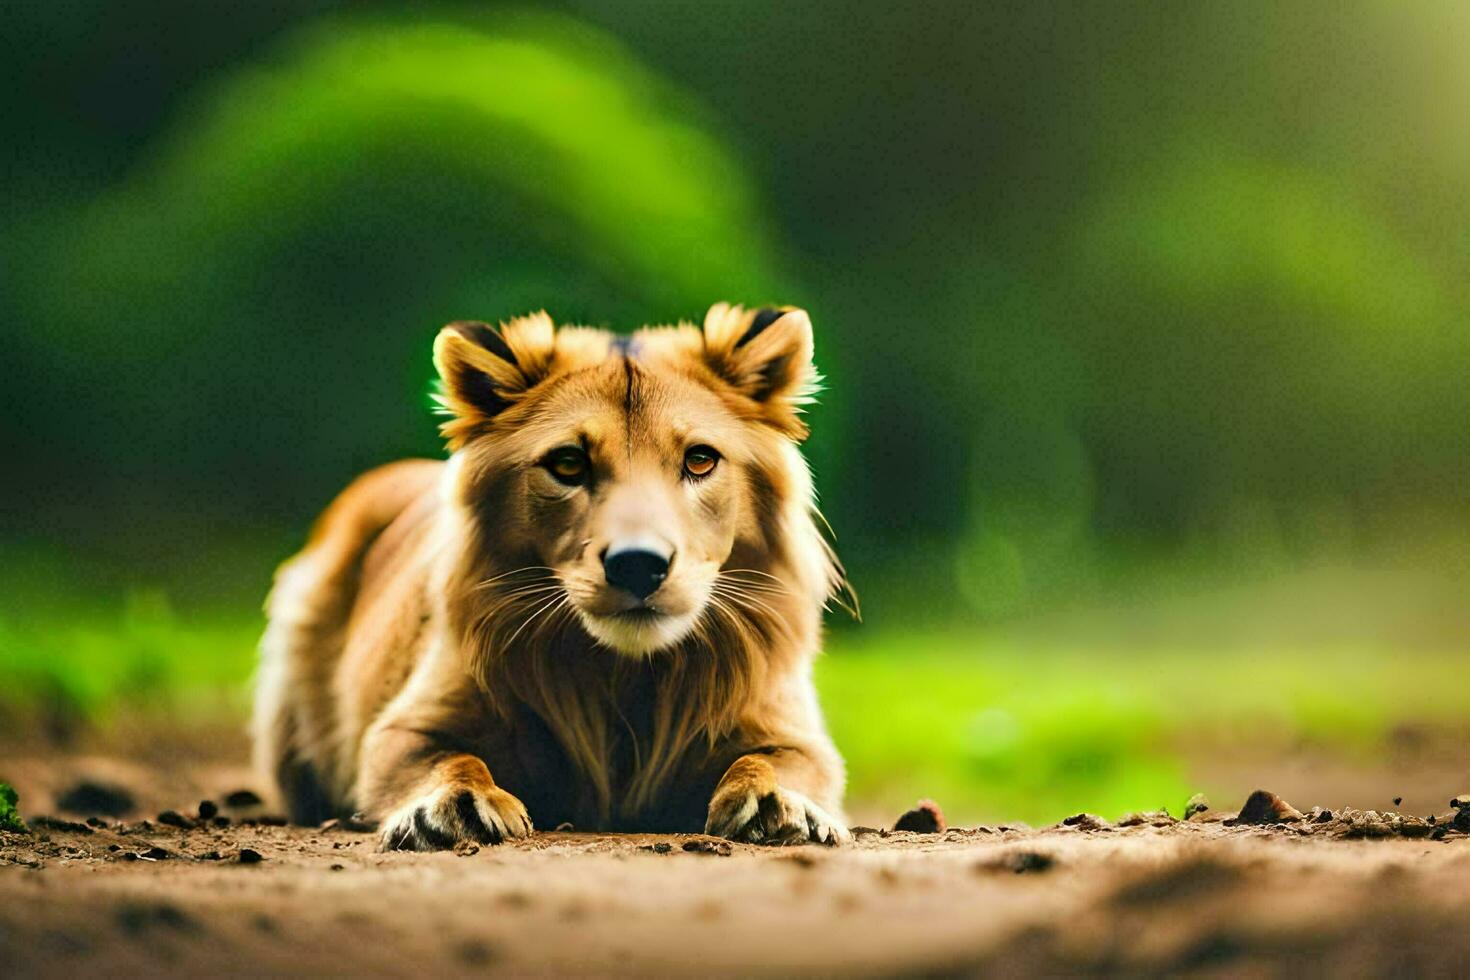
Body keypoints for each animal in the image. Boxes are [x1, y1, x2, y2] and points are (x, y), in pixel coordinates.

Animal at [251, 302, 852, 846]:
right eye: (568, 464)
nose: (638, 563)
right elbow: (447, 758)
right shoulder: (404, 728)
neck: (623, 679)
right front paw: (454, 806)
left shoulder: (794, 733)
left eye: (700, 460)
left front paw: (780, 804)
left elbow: (776, 761)